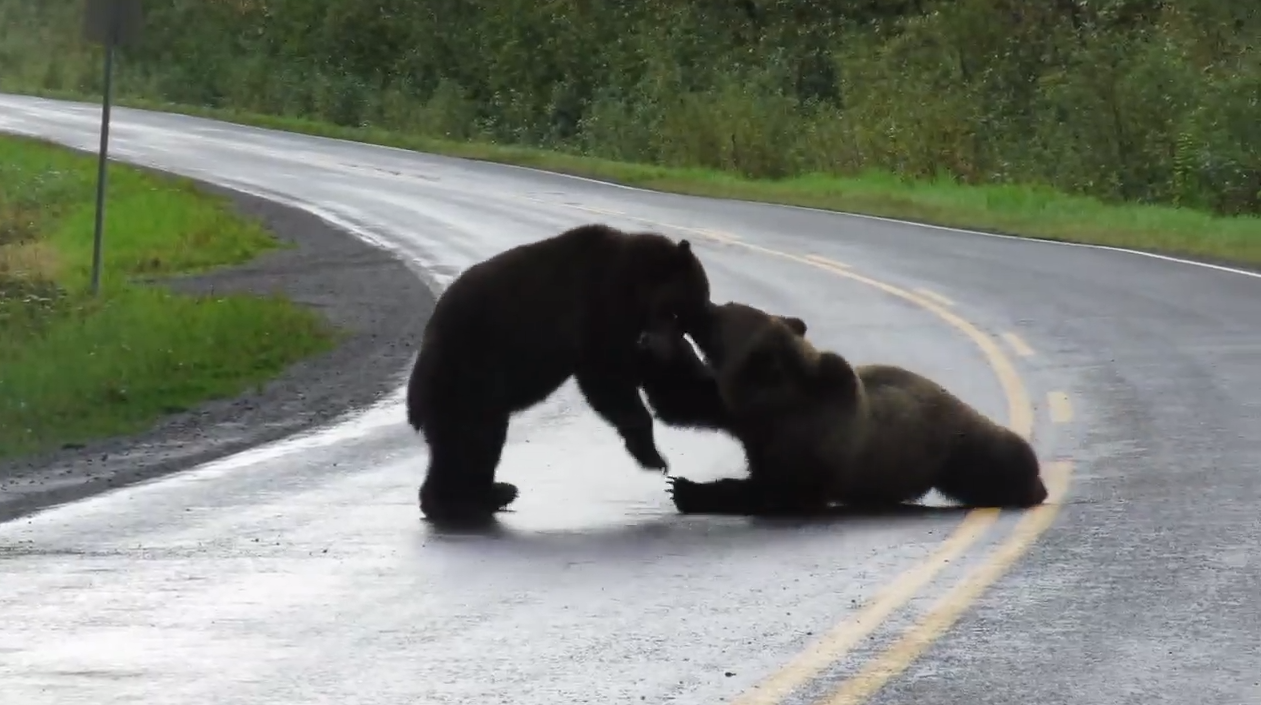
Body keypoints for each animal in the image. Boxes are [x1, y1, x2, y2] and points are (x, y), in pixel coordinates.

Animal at [408, 223, 716, 527]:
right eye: (676, 312)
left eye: (687, 322)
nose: (666, 350)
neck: (636, 285)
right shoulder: (601, 308)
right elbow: (607, 378)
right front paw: (653, 456)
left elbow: (663, 383)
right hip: (473, 371)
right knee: (474, 438)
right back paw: (462, 502)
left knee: (464, 442)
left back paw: (489, 494)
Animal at [635, 300, 1049, 517]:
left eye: (720, 316)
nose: (698, 308)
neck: (778, 404)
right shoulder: (742, 415)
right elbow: (685, 398)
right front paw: (651, 343)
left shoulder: (810, 439)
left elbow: (780, 491)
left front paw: (688, 489)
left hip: (956, 444)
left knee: (1000, 455)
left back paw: (1030, 486)